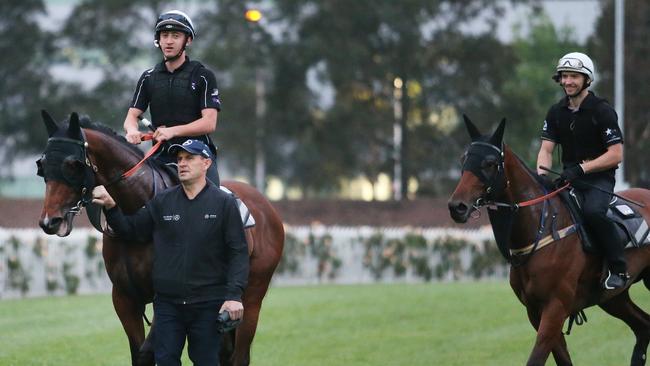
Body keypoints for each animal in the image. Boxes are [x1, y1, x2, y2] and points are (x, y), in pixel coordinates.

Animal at [34, 111, 284, 366]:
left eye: (72, 164)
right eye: (42, 165)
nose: (50, 221)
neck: (137, 209)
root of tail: (266, 207)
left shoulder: (162, 296)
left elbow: (149, 351)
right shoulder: (124, 298)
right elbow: (139, 353)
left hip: (250, 299)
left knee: (238, 354)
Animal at [448, 116, 648, 366]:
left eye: (490, 163)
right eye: (464, 159)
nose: (457, 206)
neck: (541, 230)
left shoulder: (555, 308)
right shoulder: (535, 311)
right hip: (614, 299)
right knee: (643, 326)